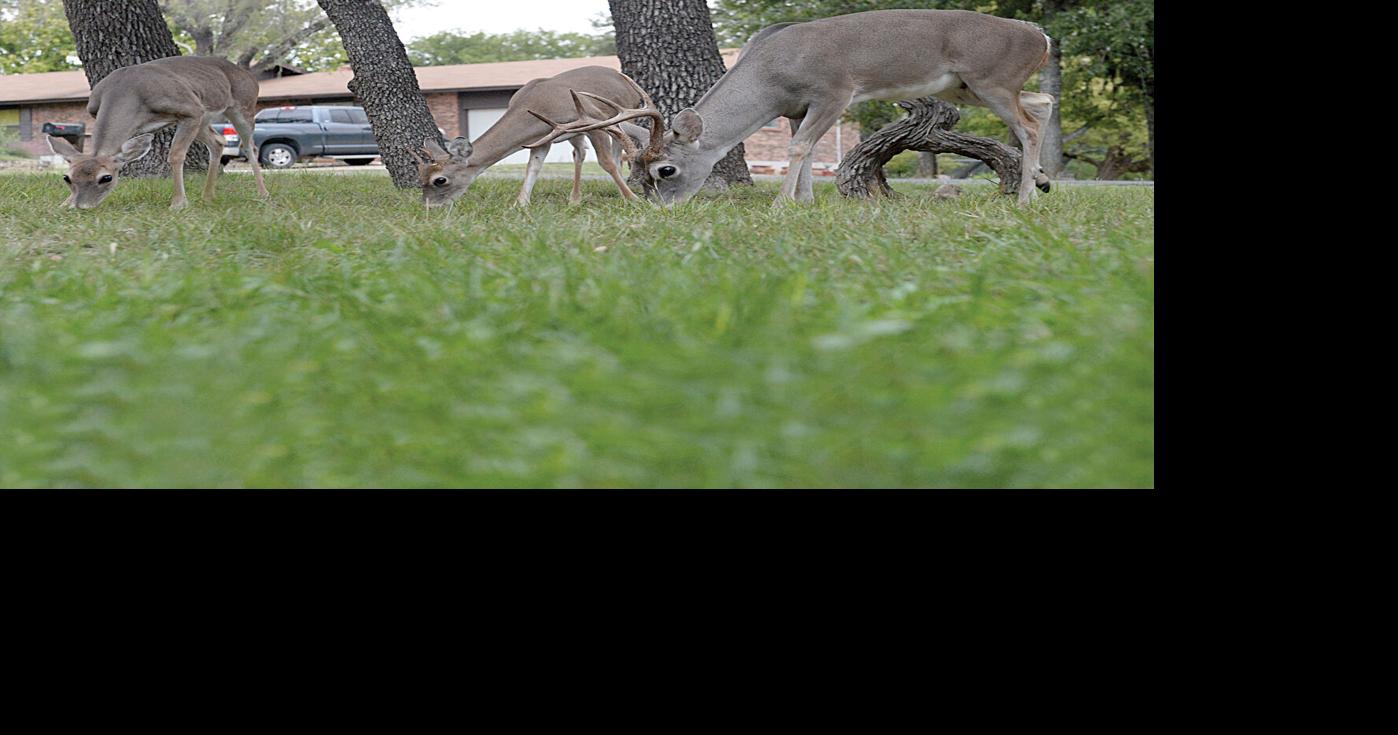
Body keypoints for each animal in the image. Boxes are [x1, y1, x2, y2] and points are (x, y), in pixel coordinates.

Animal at [46, 56, 268, 211]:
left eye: (106, 178)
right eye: (67, 178)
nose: (81, 206)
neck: (126, 92)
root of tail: (251, 77)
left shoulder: (190, 108)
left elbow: (175, 155)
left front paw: (178, 203)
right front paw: (63, 203)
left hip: (242, 107)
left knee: (249, 146)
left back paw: (263, 193)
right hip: (203, 119)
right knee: (218, 141)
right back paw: (208, 196)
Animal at [414, 66, 651, 209]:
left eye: (440, 180)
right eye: (421, 177)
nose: (428, 207)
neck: (536, 104)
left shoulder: (595, 120)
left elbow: (606, 162)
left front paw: (633, 199)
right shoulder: (542, 139)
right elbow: (533, 167)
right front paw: (520, 203)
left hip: (620, 113)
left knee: (633, 140)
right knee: (581, 153)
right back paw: (576, 199)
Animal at [530, 9, 1057, 207]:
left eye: (664, 170)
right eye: (635, 170)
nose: (658, 208)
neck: (770, 75)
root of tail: (1042, 36)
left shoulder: (834, 90)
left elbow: (802, 148)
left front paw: (782, 203)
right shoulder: (795, 107)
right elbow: (801, 149)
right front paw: (803, 201)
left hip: (991, 79)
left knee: (1028, 124)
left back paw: (1027, 197)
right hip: (971, 87)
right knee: (1043, 101)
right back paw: (1043, 181)